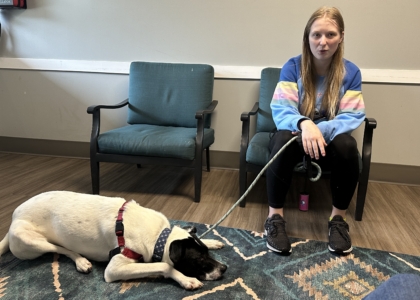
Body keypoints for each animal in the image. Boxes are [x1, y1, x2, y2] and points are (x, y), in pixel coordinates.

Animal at [0, 191, 226, 290]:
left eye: (206, 253)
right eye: (198, 260)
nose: (224, 268)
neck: (160, 235)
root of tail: (13, 217)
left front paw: (212, 241)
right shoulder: (115, 268)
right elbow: (163, 265)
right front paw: (186, 279)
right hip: (30, 240)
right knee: (60, 249)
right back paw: (81, 261)